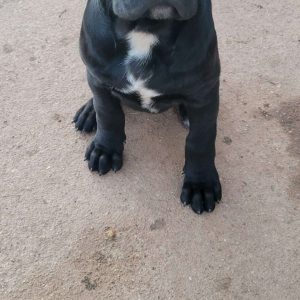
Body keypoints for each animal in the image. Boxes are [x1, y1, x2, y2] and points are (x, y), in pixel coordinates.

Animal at [74, 0, 221, 216]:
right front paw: (105, 149)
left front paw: (200, 183)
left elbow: (200, 140)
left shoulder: (205, 92)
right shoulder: (99, 80)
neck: (146, 29)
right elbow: (108, 115)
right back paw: (88, 112)